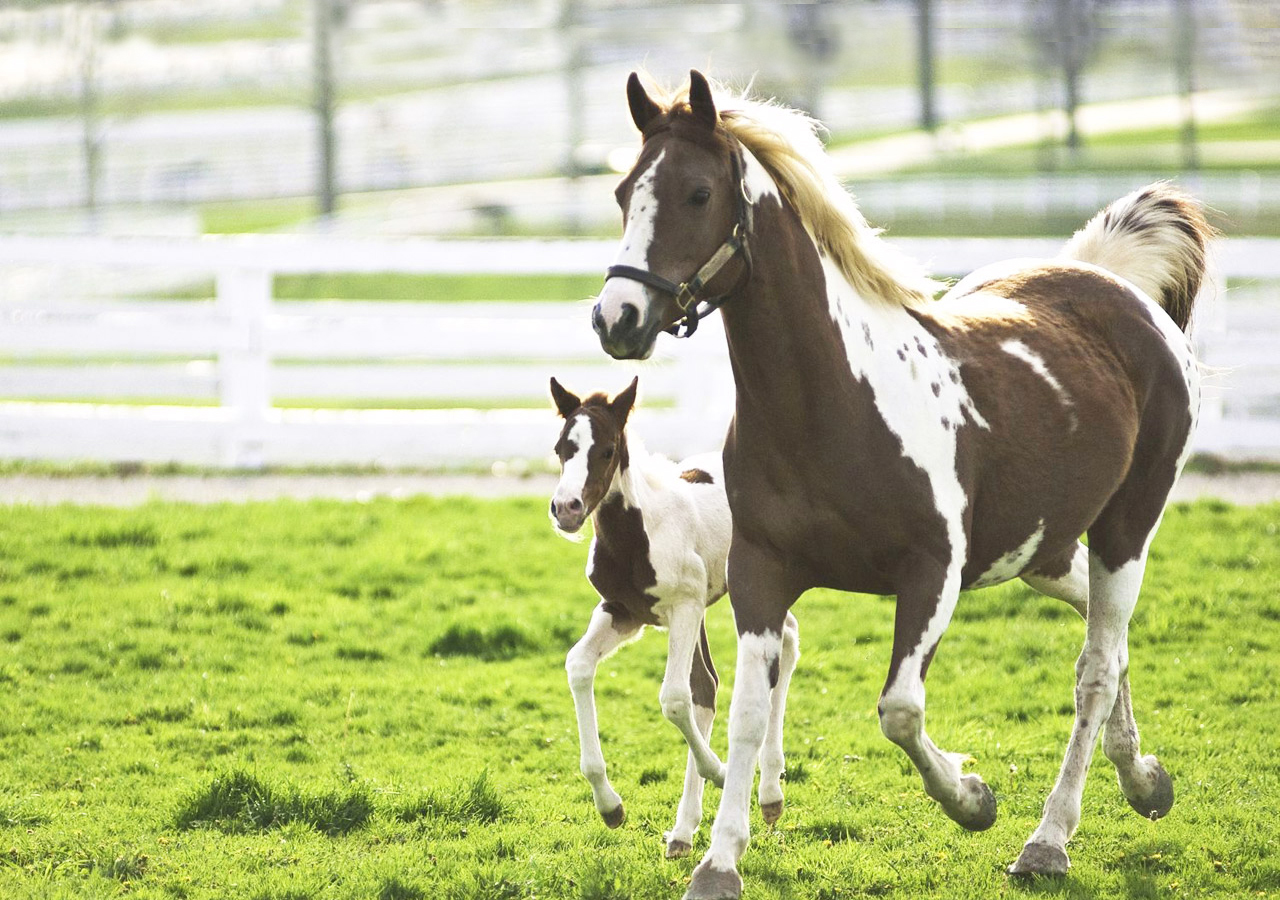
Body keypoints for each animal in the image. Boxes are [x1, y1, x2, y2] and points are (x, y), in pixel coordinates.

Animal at [548, 376, 801, 859]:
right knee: (725, 677)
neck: (637, 535)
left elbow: (674, 698)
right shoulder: (623, 612)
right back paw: (686, 831)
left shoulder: (684, 607)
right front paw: (610, 806)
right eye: (560, 448)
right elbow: (578, 666)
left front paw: (719, 770)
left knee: (779, 651)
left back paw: (768, 794)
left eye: (607, 450)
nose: (566, 509)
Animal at [590, 70, 1212, 899]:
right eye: (625, 191)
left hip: (1126, 528)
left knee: (1096, 669)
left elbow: (899, 710)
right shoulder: (761, 574)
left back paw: (1049, 840)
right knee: (1101, 636)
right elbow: (747, 712)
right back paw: (1144, 778)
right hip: (1039, 551)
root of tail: (1119, 291)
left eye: (696, 193)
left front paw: (974, 799)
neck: (831, 405)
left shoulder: (932, 574)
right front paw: (719, 861)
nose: (617, 319)